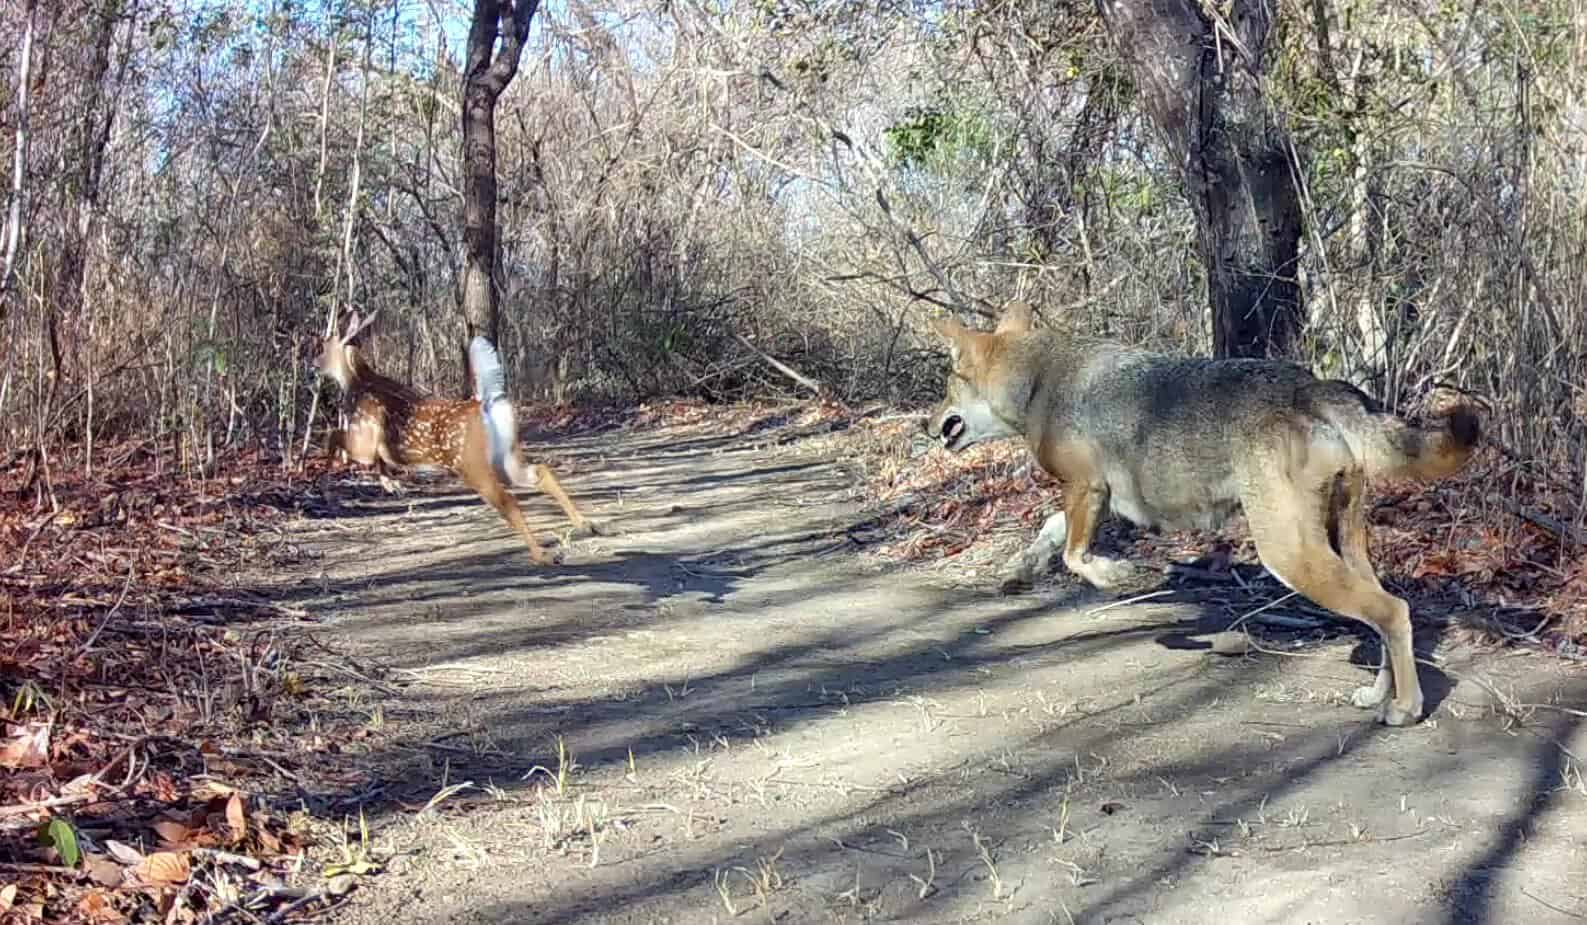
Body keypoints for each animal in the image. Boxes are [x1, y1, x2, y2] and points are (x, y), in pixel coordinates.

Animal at [313, 310, 602, 566]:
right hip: (505, 458)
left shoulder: (363, 436)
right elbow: (378, 460)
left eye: (322, 347)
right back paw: (586, 525)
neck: (357, 381)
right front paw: (391, 485)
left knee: (508, 501)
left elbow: (334, 436)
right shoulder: (380, 448)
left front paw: (328, 478)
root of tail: (483, 405)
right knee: (541, 471)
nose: (313, 365)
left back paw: (544, 555)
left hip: (471, 465)